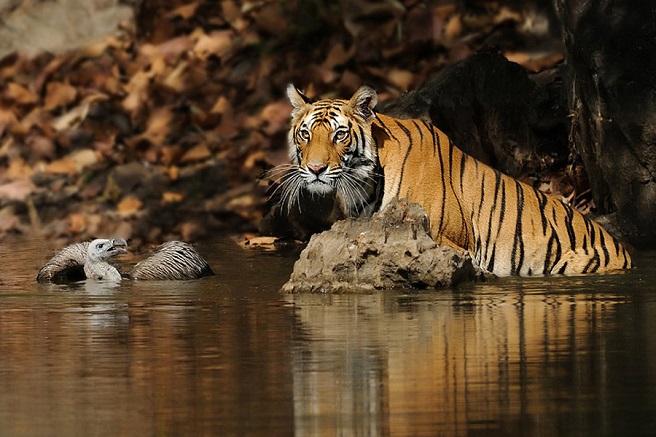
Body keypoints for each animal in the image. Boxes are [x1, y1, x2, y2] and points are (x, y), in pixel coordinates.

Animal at [272, 84, 632, 276]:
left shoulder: (450, 240)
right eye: (305, 134)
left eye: (340, 135)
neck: (365, 185)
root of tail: (623, 251)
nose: (315, 169)